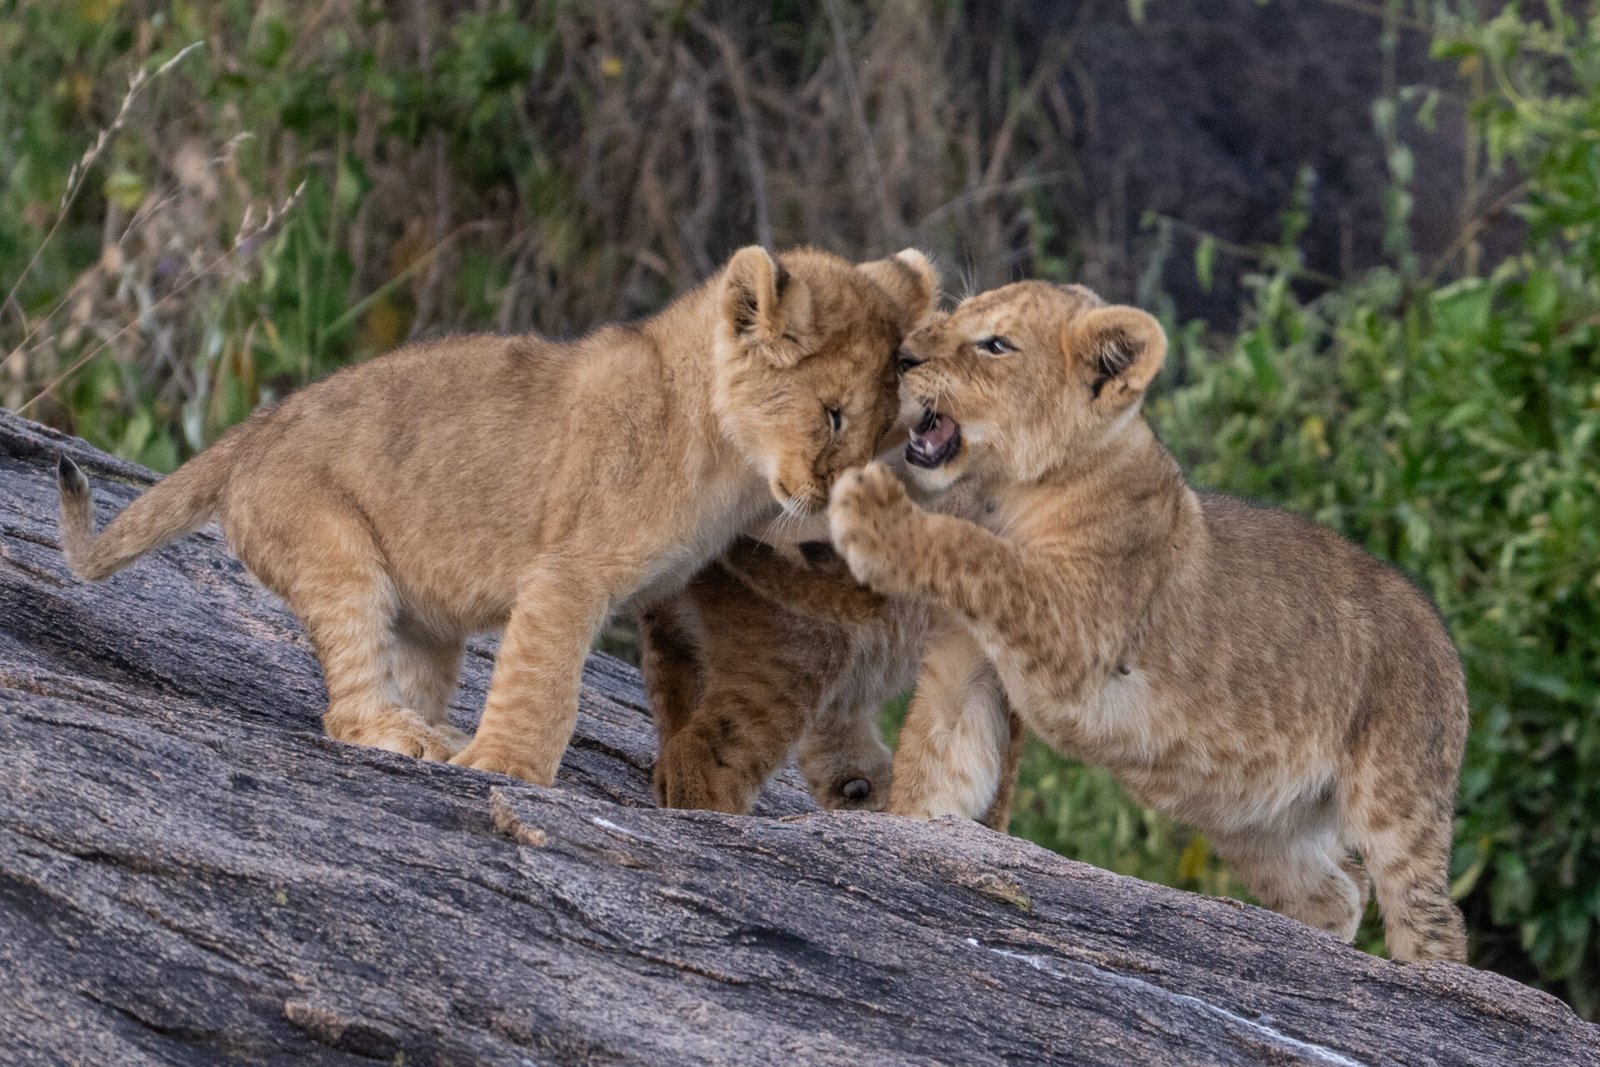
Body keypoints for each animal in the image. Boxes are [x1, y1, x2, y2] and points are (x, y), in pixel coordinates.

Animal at [56, 245, 935, 786]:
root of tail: (254, 429)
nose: (832, 502)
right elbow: (544, 680)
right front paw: (505, 769)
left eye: (883, 434)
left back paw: (437, 734)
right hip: (332, 546)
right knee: (344, 700)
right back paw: (405, 736)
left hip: (422, 616)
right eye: (831, 415)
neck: (731, 468)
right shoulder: (569, 572)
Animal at [828, 280, 1469, 963]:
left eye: (996, 344)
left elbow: (986, 556)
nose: (901, 357)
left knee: (1429, 916)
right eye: (955, 313)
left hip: (1398, 794)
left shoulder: (1075, 637)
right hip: (1257, 823)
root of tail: (1442, 631)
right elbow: (933, 766)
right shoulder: (965, 668)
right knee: (1338, 889)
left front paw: (872, 512)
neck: (1002, 493)